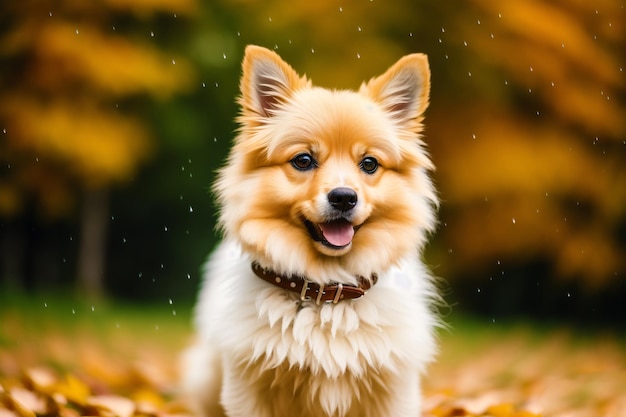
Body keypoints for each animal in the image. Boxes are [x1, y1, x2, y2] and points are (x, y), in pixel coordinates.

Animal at [180, 45, 438, 416]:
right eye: (303, 160)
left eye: (369, 164)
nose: (344, 197)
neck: (327, 292)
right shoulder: (249, 388)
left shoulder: (393, 390)